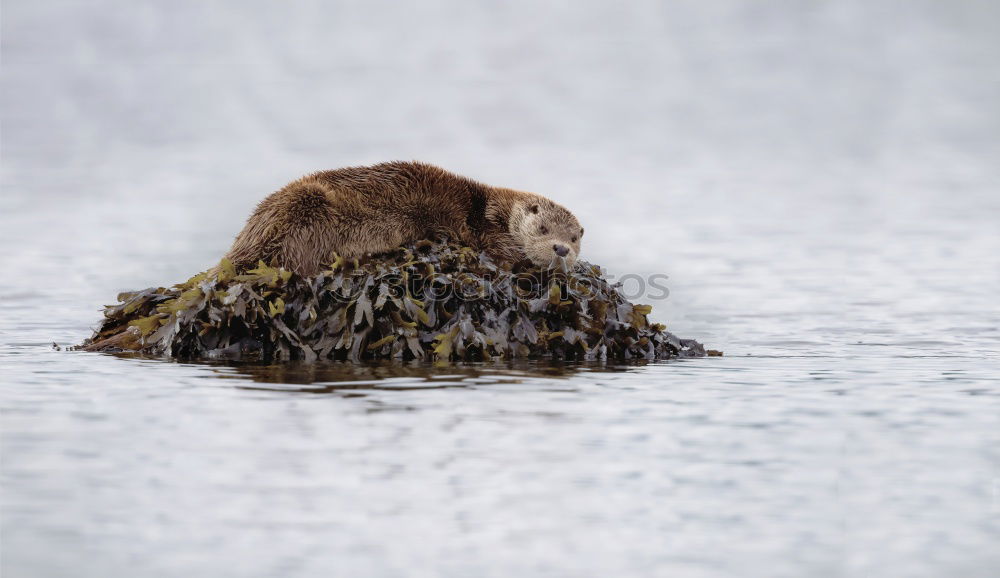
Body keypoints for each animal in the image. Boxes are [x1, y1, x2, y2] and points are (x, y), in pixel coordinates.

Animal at [225, 159, 584, 274]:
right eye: (543, 228)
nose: (561, 249)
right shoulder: (485, 231)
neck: (490, 208)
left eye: (574, 238)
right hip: (307, 206)